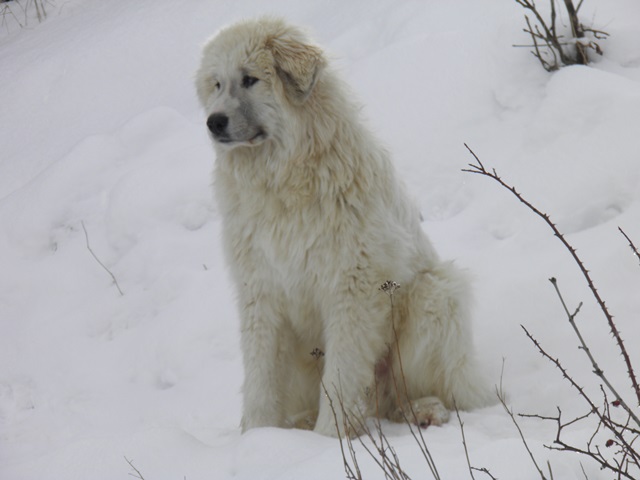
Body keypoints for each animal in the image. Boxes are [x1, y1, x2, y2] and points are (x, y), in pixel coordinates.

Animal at [195, 16, 490, 436]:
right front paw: (259, 437)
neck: (281, 183)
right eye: (217, 84)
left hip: (436, 293)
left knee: (408, 393)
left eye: (250, 78)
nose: (213, 122)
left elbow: (341, 376)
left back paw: (424, 409)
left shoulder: (353, 288)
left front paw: (328, 440)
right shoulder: (262, 292)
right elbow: (260, 377)